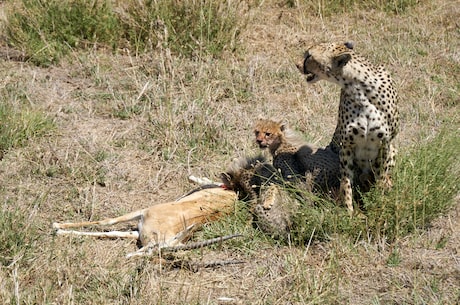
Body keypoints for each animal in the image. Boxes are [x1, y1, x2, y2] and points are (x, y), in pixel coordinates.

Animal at [296, 42, 398, 214]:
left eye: (309, 55)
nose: (296, 64)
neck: (360, 89)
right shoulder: (346, 146)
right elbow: (346, 183)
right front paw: (348, 212)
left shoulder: (385, 144)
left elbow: (381, 178)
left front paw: (380, 204)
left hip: (393, 149)